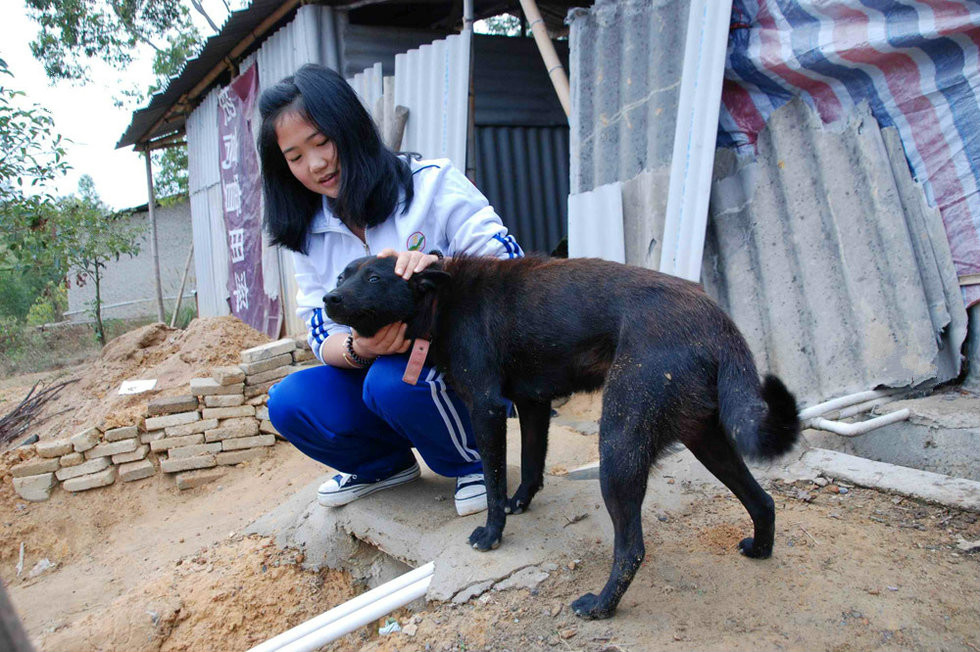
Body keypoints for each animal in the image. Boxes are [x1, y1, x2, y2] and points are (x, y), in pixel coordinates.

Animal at [326, 252, 800, 620]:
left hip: (619, 445)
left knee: (632, 548)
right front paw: (520, 503)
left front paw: (492, 533)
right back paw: (760, 548)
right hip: (703, 436)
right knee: (763, 499)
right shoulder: (533, 404)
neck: (443, 299)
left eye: (374, 278)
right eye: (341, 275)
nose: (329, 299)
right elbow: (531, 464)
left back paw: (601, 606)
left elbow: (494, 481)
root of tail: (716, 318)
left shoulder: (486, 407)